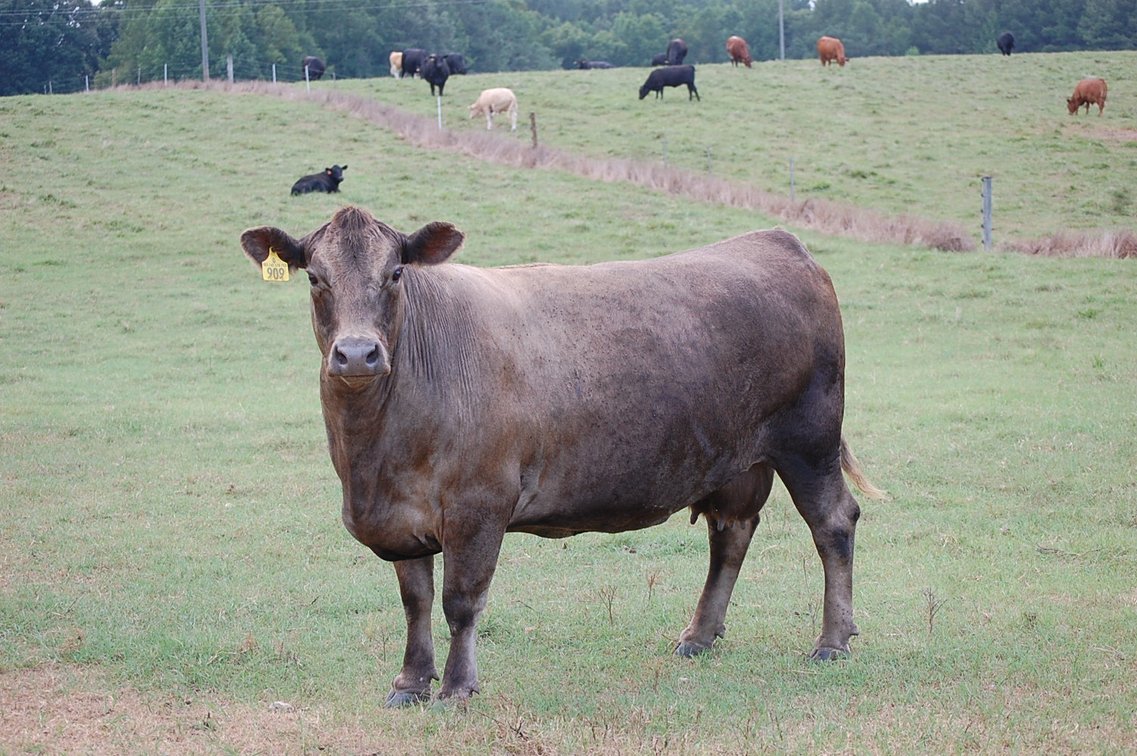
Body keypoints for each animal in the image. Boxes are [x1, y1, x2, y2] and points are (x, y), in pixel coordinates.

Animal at [238, 205, 882, 705]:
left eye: (395, 272)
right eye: (315, 277)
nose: (356, 353)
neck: (372, 458)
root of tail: (777, 242)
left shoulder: (478, 506)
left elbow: (460, 601)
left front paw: (456, 688)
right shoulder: (402, 515)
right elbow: (414, 600)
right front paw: (409, 683)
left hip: (809, 441)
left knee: (833, 524)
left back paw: (831, 642)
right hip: (738, 460)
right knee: (731, 532)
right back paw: (699, 635)